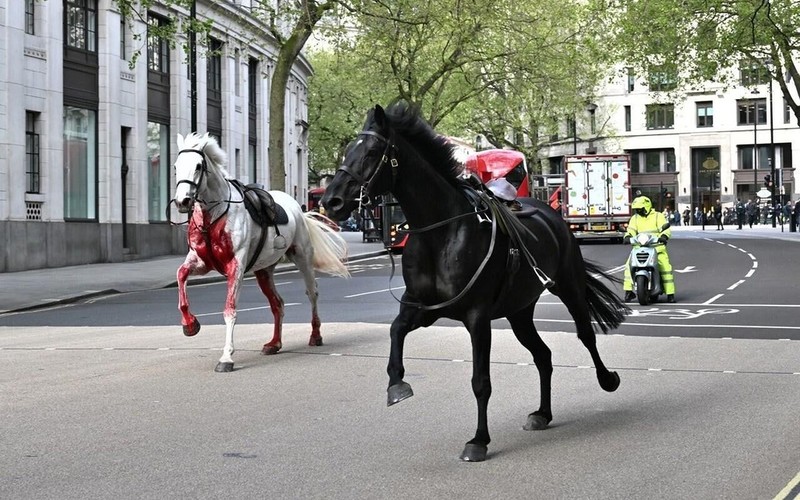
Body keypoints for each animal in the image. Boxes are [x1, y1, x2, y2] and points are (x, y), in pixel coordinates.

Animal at [170, 132, 348, 372]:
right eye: (176, 166)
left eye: (198, 166)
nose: (182, 201)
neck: (213, 215)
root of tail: (297, 207)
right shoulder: (200, 262)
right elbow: (181, 276)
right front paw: (190, 325)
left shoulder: (235, 266)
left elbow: (229, 310)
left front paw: (226, 357)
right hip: (264, 270)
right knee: (277, 304)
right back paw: (274, 343)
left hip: (302, 257)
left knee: (312, 293)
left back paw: (315, 335)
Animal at [322, 102, 628, 460]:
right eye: (347, 151)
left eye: (371, 152)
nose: (331, 201)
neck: (440, 233)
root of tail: (550, 212)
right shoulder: (422, 308)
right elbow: (395, 331)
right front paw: (397, 385)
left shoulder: (477, 317)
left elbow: (480, 381)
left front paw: (479, 440)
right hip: (519, 311)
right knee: (543, 355)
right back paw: (542, 413)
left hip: (568, 286)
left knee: (585, 334)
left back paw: (607, 379)